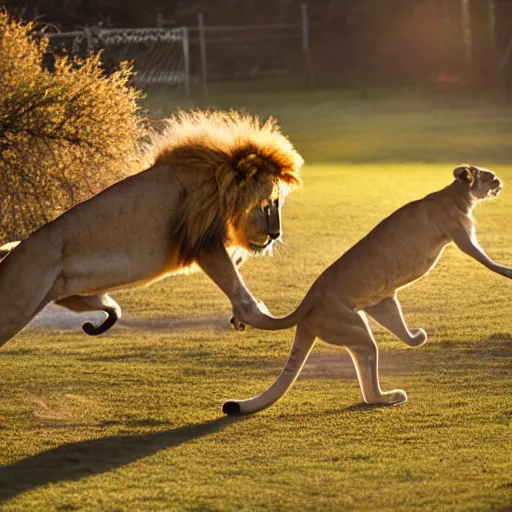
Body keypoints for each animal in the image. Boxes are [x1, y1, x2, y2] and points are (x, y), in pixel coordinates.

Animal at [0, 110, 302, 346]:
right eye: (270, 203)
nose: (275, 235)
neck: (218, 181)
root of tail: (14, 252)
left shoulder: (205, 238)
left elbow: (237, 267)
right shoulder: (204, 242)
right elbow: (242, 296)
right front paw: (262, 315)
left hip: (72, 295)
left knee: (105, 305)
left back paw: (106, 316)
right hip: (18, 299)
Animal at [225, 165, 512, 416]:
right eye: (490, 176)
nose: (500, 182)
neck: (456, 194)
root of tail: (308, 301)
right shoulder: (463, 238)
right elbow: (489, 261)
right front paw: (509, 271)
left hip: (377, 306)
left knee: (390, 349)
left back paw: (412, 345)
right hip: (357, 330)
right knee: (370, 381)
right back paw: (392, 397)